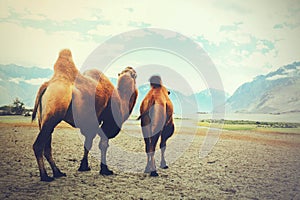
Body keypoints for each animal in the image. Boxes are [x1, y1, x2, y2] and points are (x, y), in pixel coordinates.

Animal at [31, 49, 137, 182]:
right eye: (135, 74)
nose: (130, 66)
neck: (121, 99)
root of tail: (47, 85)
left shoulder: (91, 123)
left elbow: (88, 143)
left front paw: (84, 166)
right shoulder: (108, 121)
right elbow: (103, 144)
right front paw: (105, 170)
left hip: (43, 118)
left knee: (47, 146)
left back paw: (58, 172)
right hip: (54, 111)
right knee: (38, 145)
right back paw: (45, 176)